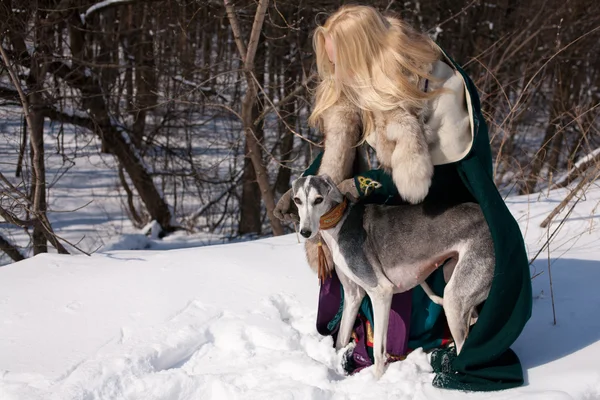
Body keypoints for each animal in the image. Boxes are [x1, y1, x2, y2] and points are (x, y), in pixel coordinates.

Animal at [290, 175, 492, 378]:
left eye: (318, 199)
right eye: (297, 200)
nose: (305, 232)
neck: (339, 223)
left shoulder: (381, 292)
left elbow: (379, 349)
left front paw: (377, 379)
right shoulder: (353, 295)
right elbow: (341, 338)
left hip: (454, 297)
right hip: (453, 274)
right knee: (472, 320)